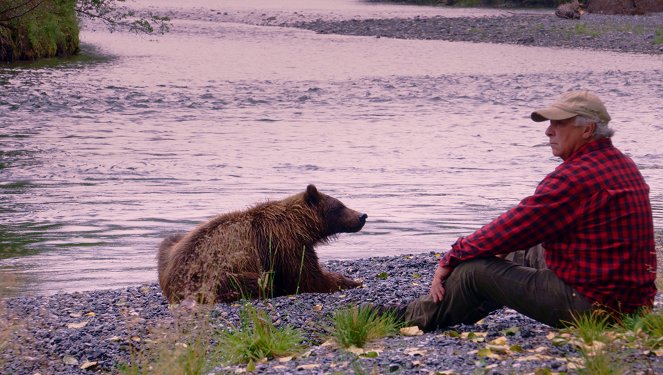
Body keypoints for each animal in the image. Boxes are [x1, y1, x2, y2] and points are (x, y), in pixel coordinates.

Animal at [157, 185, 368, 306]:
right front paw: (350, 281)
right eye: (340, 206)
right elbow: (307, 277)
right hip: (212, 275)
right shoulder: (283, 244)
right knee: (259, 281)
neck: (299, 225)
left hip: (170, 246)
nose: (362, 215)